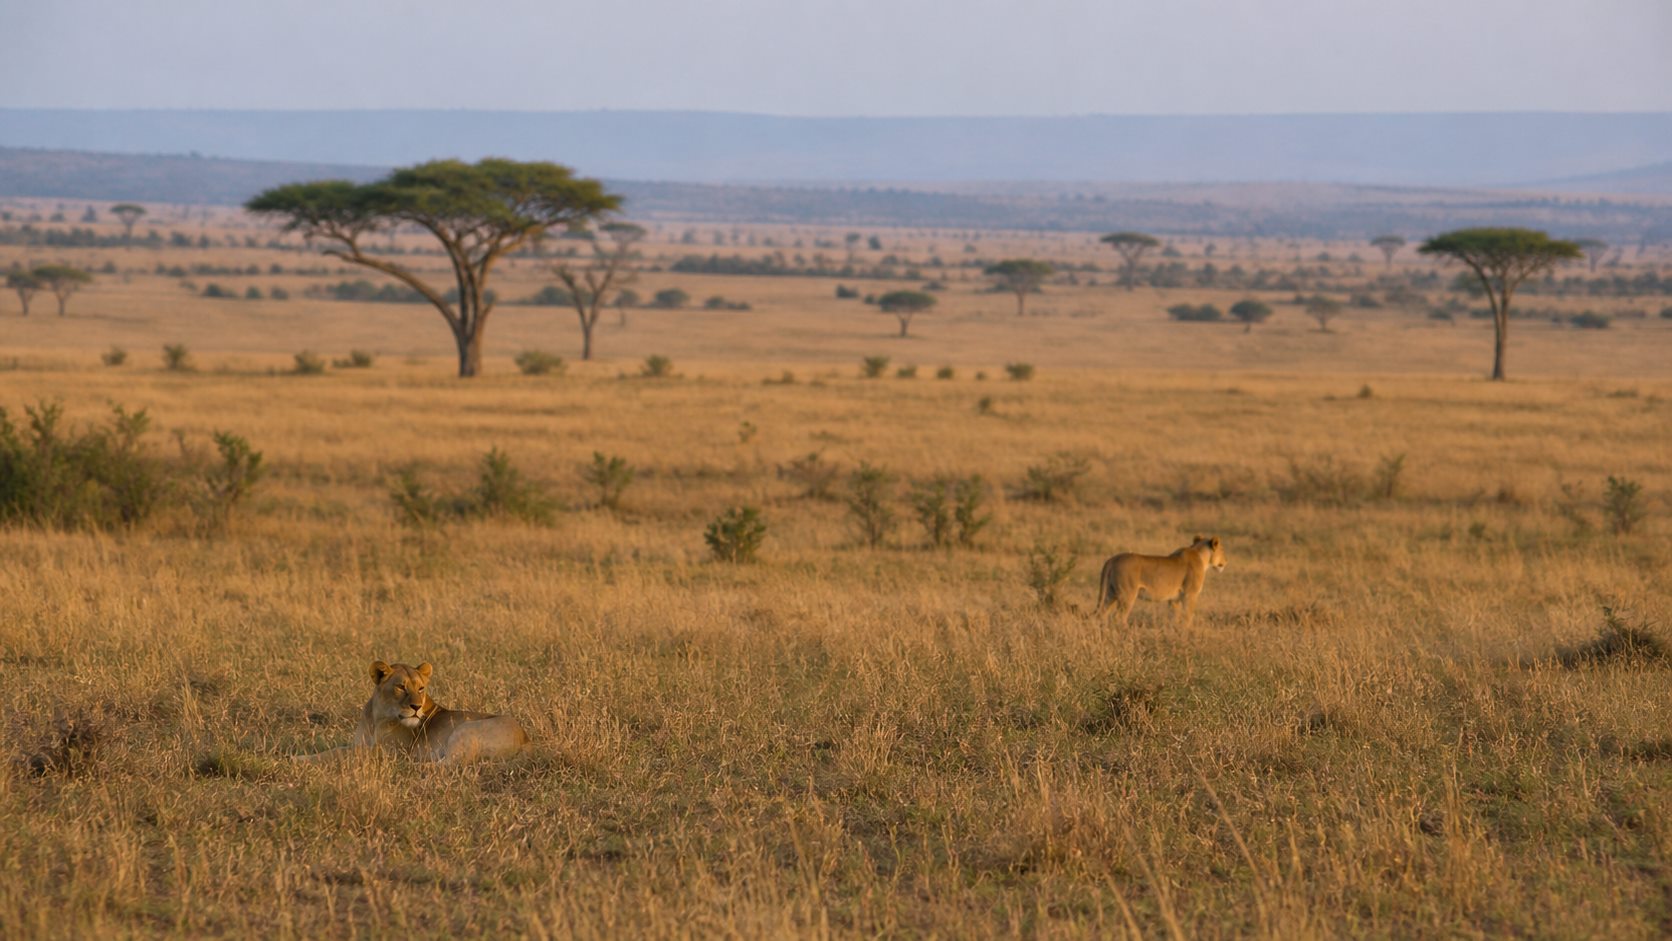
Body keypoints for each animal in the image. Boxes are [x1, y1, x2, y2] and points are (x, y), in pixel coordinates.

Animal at [296, 660, 528, 764]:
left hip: (464, 729)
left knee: (446, 766)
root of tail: (526, 739)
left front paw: (298, 759)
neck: (377, 719)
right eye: (401, 687)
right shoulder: (362, 744)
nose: (416, 708)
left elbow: (340, 753)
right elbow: (339, 749)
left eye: (421, 688)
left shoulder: (386, 753)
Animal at [1095, 536, 1226, 626]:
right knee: (1118, 617)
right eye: (1223, 550)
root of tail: (1112, 559)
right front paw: (1188, 632)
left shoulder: (1174, 599)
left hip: (1110, 593)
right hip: (1127, 595)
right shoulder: (1190, 595)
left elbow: (1175, 617)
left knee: (1101, 613)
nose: (1226, 562)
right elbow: (1188, 616)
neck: (1202, 557)